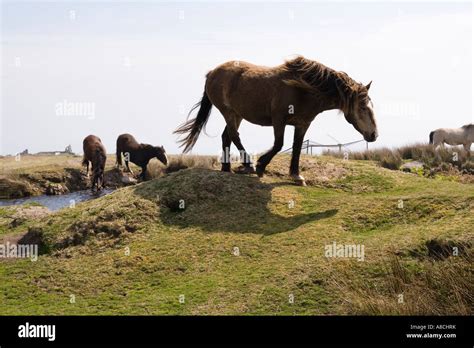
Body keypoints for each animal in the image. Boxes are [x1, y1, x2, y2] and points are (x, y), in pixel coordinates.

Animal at [174, 55, 378, 185]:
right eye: (362, 107)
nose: (374, 135)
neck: (303, 89)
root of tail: (212, 72)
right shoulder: (279, 119)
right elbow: (279, 144)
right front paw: (261, 166)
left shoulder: (302, 124)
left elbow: (297, 147)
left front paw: (296, 176)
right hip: (228, 112)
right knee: (234, 135)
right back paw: (247, 165)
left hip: (237, 114)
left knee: (227, 136)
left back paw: (227, 168)